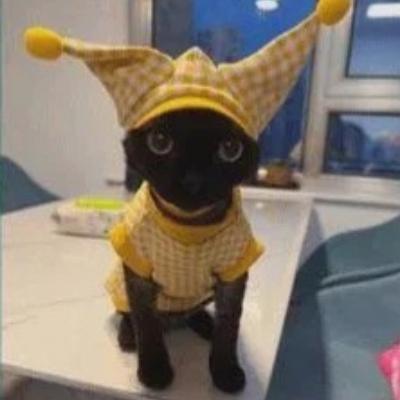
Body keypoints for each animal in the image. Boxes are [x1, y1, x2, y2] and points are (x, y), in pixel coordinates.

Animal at [117, 109, 259, 393]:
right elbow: (145, 323)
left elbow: (229, 326)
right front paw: (154, 372)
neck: (189, 224)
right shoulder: (138, 275)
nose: (193, 181)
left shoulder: (232, 275)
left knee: (193, 313)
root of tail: (173, 319)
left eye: (231, 149)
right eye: (159, 141)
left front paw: (225, 372)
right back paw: (127, 337)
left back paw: (205, 323)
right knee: (127, 314)